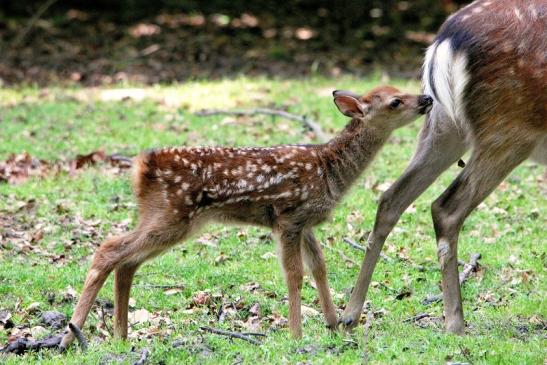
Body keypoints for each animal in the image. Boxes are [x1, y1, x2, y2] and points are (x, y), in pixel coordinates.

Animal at [340, 0, 544, 334]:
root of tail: (445, 40)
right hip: (511, 128)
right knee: (446, 207)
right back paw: (455, 323)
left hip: (443, 122)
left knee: (390, 198)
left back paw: (349, 314)